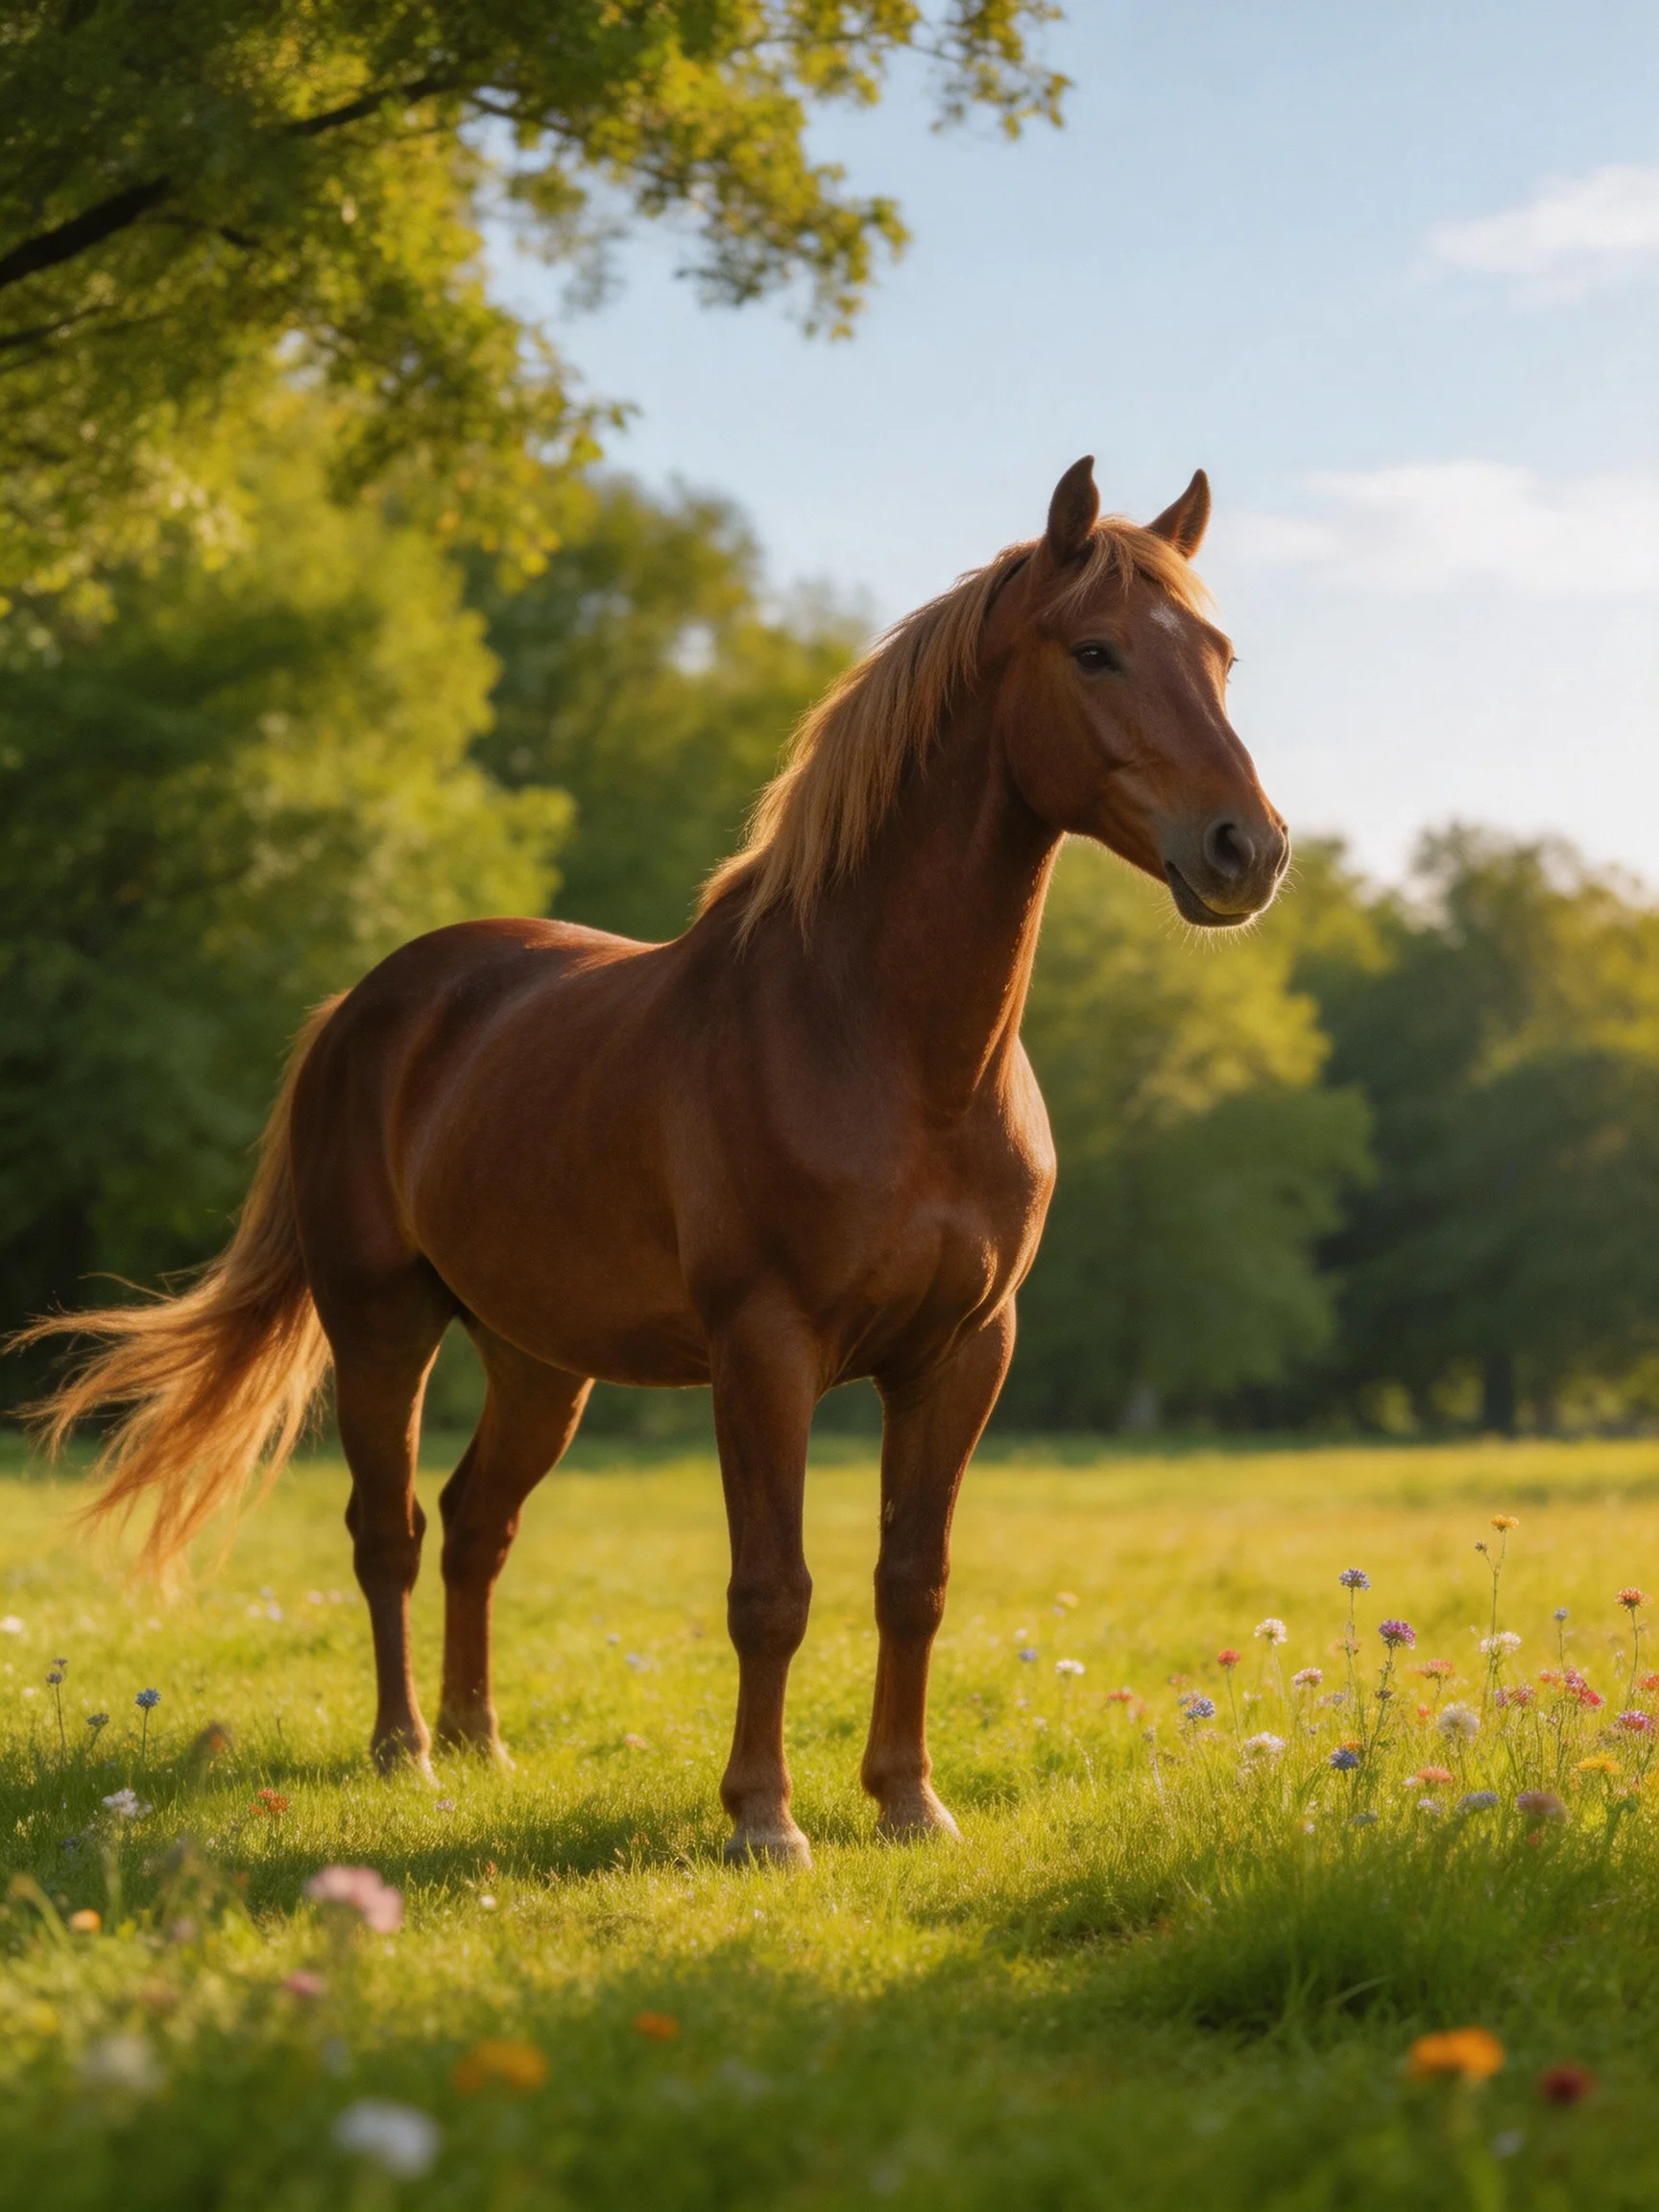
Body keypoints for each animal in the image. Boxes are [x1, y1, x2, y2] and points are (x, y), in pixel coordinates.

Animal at [21, 457, 1288, 1866]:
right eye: (1097, 650)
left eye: (1221, 656)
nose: (1247, 850)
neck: (890, 1049)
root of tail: (370, 1003)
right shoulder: (765, 1349)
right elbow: (772, 1590)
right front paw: (764, 1821)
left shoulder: (964, 1353)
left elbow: (913, 1580)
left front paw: (909, 1802)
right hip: (383, 1324)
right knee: (388, 1531)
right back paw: (407, 1750)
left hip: (537, 1360)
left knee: (476, 1524)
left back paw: (481, 1739)